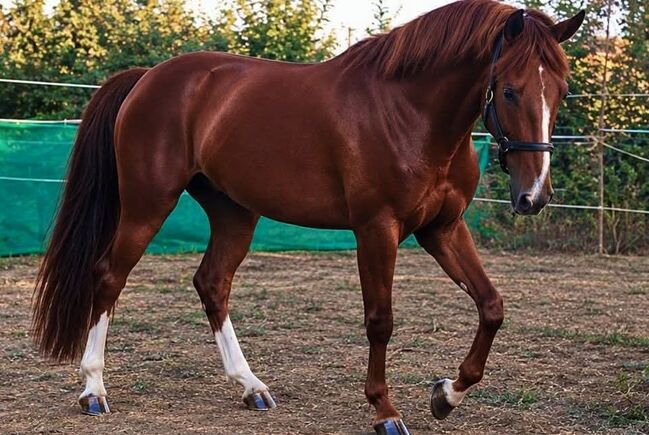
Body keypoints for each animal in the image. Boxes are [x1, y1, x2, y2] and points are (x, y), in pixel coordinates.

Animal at [32, 1, 584, 433]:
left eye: (559, 90)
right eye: (509, 90)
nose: (534, 196)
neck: (410, 111)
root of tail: (147, 78)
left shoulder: (442, 229)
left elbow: (491, 307)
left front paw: (446, 394)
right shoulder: (376, 229)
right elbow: (380, 320)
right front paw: (385, 411)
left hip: (235, 213)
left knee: (212, 283)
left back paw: (250, 386)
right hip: (148, 205)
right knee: (109, 277)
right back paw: (94, 390)